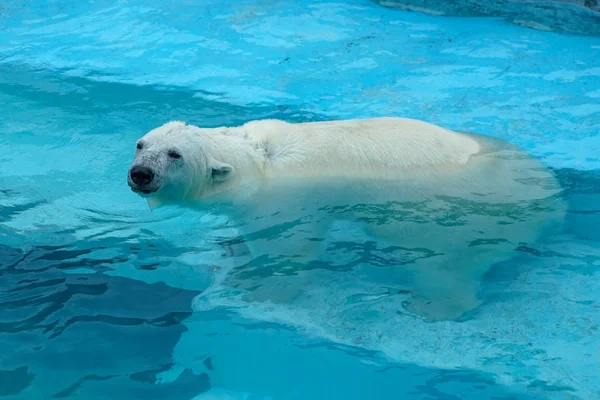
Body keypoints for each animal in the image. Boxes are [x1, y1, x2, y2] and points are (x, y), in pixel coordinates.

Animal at [127, 117, 568, 320]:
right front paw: (234, 249)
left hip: (463, 218)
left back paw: (431, 305)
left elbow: (291, 251)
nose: (140, 173)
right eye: (142, 144)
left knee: (442, 265)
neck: (258, 160)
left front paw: (258, 288)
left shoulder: (286, 202)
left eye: (175, 155)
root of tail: (554, 202)